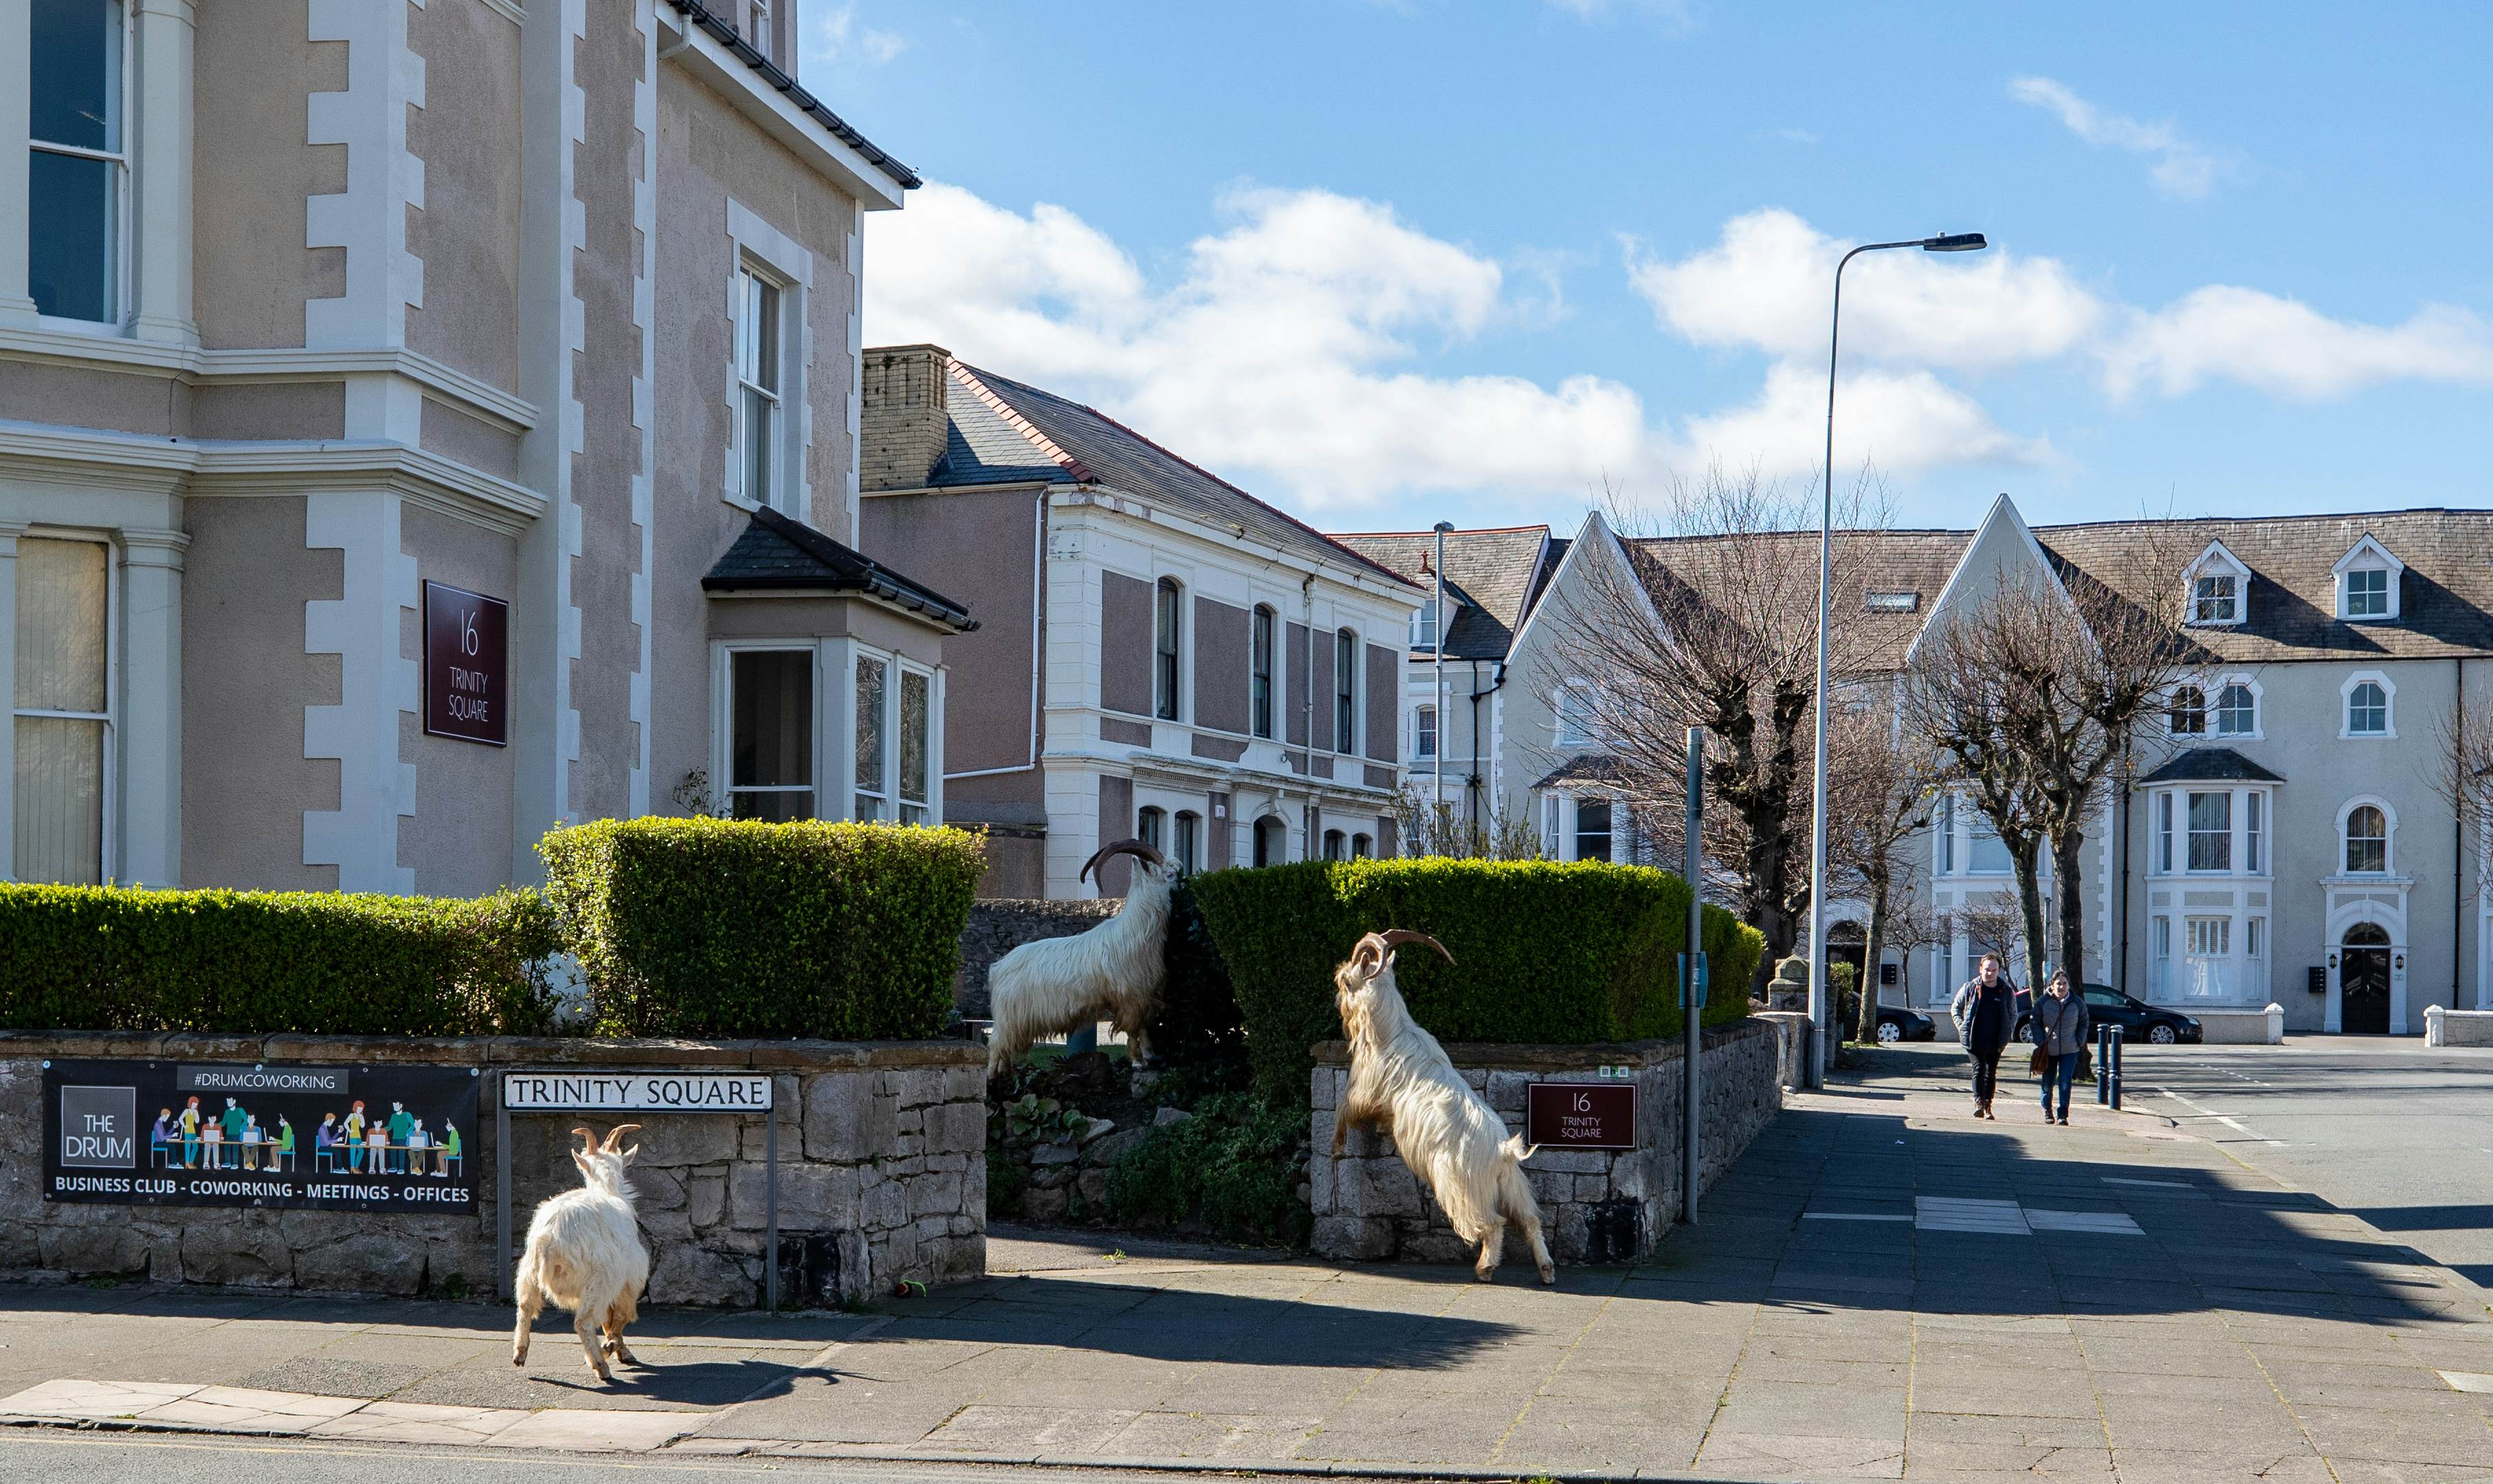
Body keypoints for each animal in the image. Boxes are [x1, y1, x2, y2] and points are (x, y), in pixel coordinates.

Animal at [512, 1124, 651, 1383]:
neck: (609, 1191)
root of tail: (550, 1238)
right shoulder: (628, 1277)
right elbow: (620, 1317)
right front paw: (613, 1348)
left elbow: (609, 1320)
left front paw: (620, 1350)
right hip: (597, 1279)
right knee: (584, 1322)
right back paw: (600, 1365)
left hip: (528, 1272)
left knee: (525, 1307)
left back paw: (520, 1354)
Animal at [985, 838, 1173, 1077]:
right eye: (1171, 874)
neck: (1136, 928)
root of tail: (998, 968)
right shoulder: (1129, 996)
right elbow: (1132, 1029)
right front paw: (1138, 1061)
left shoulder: (1145, 994)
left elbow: (1145, 1027)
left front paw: (1150, 1055)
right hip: (1008, 1017)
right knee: (996, 1044)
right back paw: (991, 1079)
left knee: (1006, 1049)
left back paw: (1007, 1074)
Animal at [1332, 930, 1556, 1284]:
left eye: (1345, 980)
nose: (1337, 1003)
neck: (1389, 1031)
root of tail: (1504, 1152)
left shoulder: (1365, 1090)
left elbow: (1344, 1110)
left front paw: (1336, 1147)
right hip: (1512, 1187)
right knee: (1530, 1221)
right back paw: (1546, 1270)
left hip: (1462, 1185)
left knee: (1493, 1223)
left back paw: (1485, 1268)